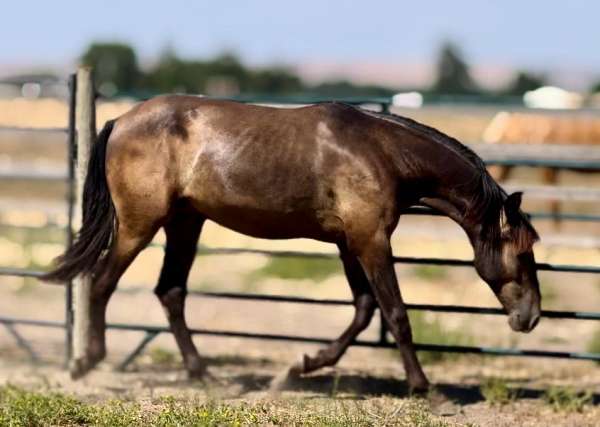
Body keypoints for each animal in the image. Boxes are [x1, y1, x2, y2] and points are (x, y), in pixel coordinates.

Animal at [43, 95, 540, 392]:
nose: (531, 317)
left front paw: (302, 366)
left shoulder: (350, 243)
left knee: (170, 292)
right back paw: (88, 362)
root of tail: (119, 121)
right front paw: (424, 388)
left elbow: (364, 310)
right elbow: (396, 313)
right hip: (139, 224)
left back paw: (203, 375)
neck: (381, 153)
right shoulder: (370, 241)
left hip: (185, 223)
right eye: (522, 251)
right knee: (102, 282)